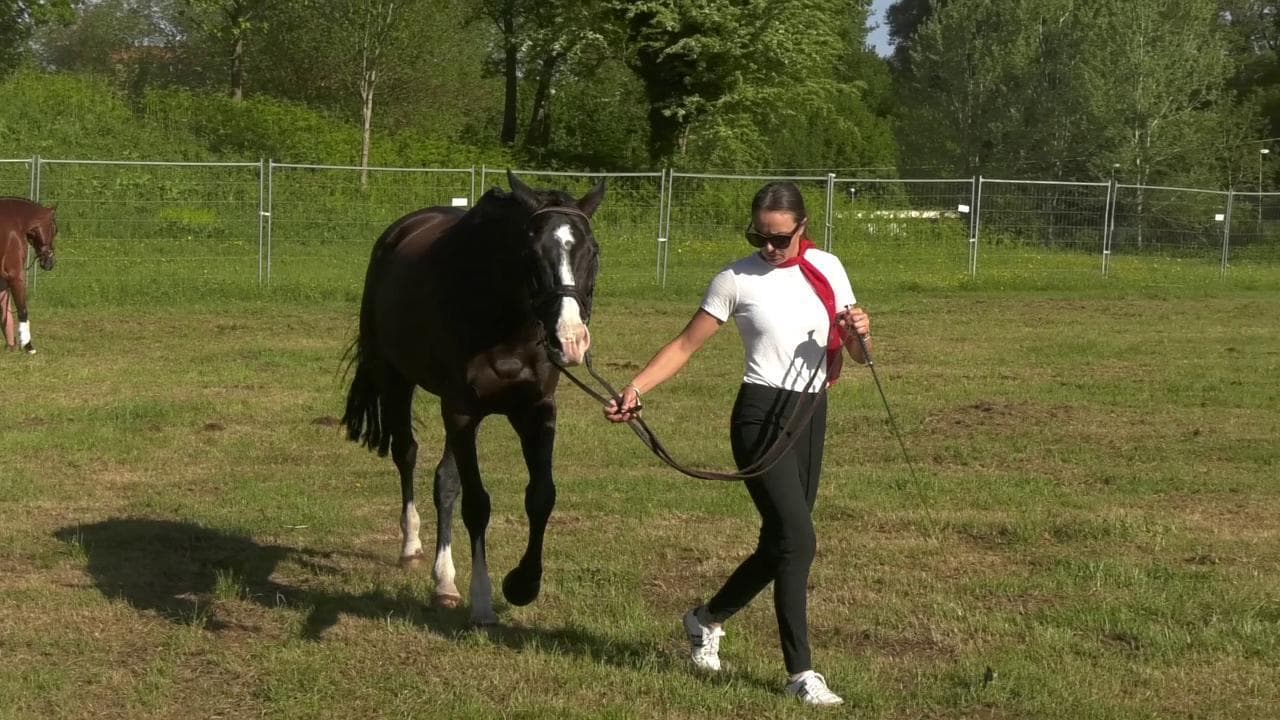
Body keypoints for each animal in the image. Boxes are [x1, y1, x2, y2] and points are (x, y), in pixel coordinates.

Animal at [341, 171, 605, 625]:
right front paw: (482, 600)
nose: (570, 340)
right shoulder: (462, 413)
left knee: (444, 481)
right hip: (398, 382)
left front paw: (522, 584)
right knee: (407, 454)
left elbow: (541, 496)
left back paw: (445, 581)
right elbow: (477, 504)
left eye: (593, 251)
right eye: (531, 253)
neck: (506, 322)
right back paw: (413, 547)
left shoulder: (536, 411)